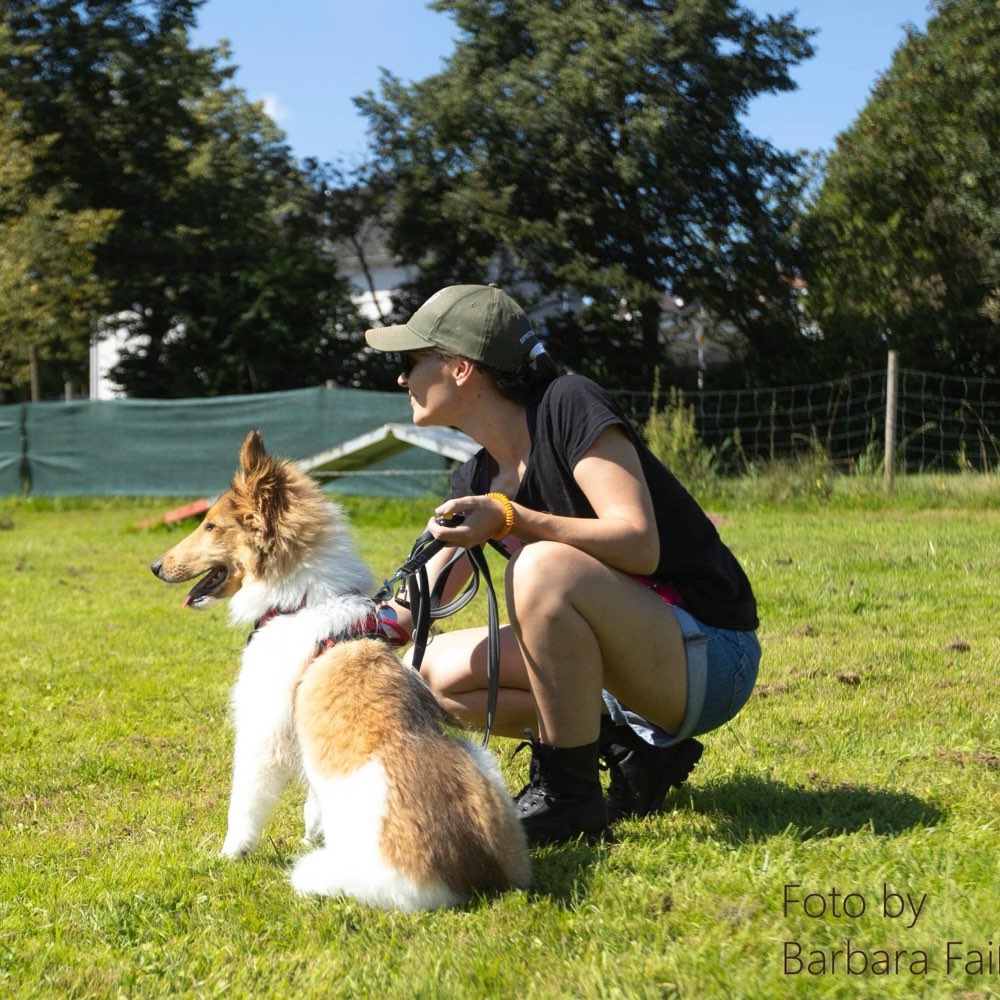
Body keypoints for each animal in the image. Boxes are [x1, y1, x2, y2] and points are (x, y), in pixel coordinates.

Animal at [150, 426, 532, 912]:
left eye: (211, 526)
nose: (154, 567)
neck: (300, 602)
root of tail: (469, 874)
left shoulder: (261, 734)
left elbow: (244, 803)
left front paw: (227, 855)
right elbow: (313, 800)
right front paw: (310, 829)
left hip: (316, 873)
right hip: (479, 757)